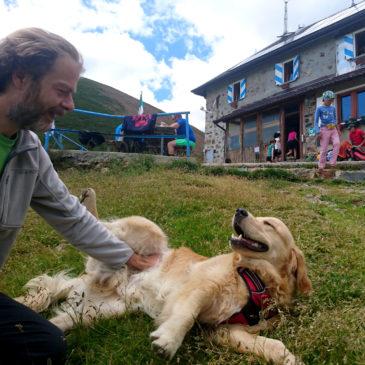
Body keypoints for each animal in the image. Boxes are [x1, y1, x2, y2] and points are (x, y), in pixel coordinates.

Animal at [17, 188, 312, 364]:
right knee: (99, 226)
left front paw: (292, 359)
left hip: (93, 312)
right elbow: (186, 314)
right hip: (148, 231)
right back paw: (86, 198)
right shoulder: (200, 286)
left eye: (269, 223)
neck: (255, 279)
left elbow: (274, 345)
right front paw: (168, 340)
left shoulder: (226, 330)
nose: (240, 211)